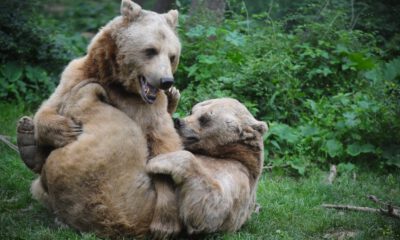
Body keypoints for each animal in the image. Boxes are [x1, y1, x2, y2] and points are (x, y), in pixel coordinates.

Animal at [18, 0, 183, 236]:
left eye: (172, 56)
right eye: (150, 50)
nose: (166, 81)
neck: (117, 80)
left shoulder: (149, 109)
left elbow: (164, 146)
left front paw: (165, 224)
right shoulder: (78, 74)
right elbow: (48, 108)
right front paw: (66, 130)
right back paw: (27, 142)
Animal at [145, 97, 268, 234]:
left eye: (204, 118)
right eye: (191, 111)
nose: (177, 121)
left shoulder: (237, 173)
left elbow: (214, 208)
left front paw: (159, 161)